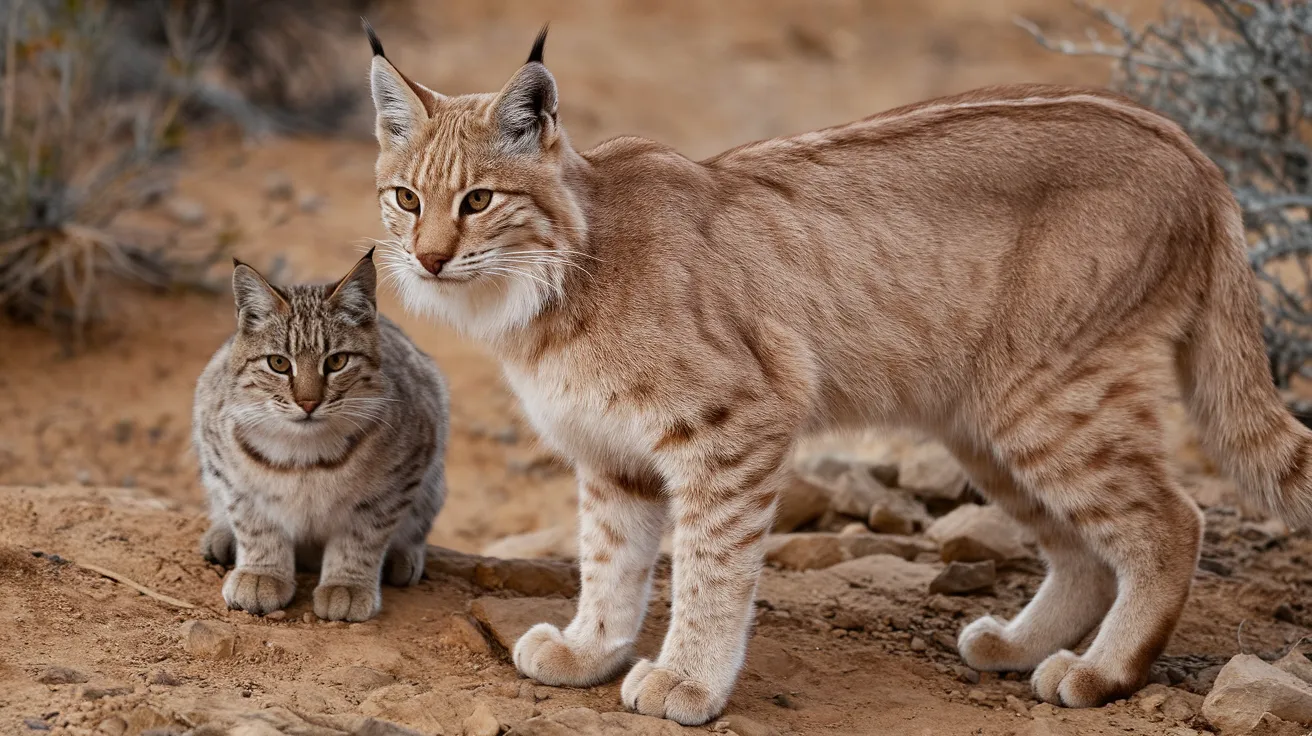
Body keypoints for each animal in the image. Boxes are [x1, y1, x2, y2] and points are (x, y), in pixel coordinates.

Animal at [188, 250, 446, 619]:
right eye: (279, 363)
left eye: (337, 362)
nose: (308, 403)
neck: (304, 452)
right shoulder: (223, 463)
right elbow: (255, 523)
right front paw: (261, 574)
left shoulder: (403, 474)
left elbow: (362, 535)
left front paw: (347, 586)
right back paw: (220, 536)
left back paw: (404, 556)